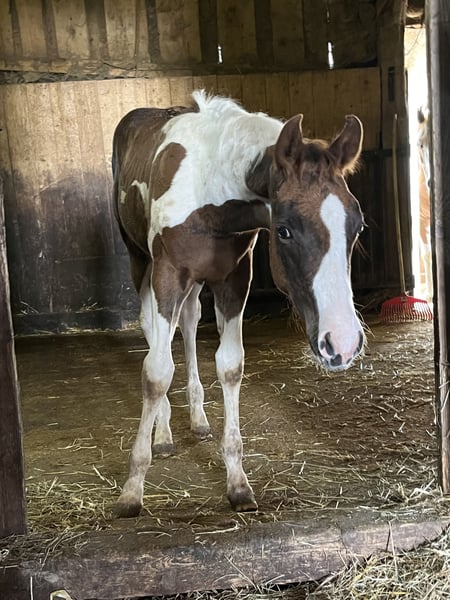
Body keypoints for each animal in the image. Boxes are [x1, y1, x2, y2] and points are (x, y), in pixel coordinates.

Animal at [112, 90, 365, 517]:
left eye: (357, 226)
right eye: (284, 230)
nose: (342, 344)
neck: (210, 192)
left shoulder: (233, 278)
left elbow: (230, 366)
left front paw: (237, 483)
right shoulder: (167, 273)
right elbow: (157, 372)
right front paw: (132, 490)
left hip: (196, 283)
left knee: (190, 324)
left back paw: (197, 419)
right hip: (138, 261)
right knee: (152, 331)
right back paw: (163, 434)